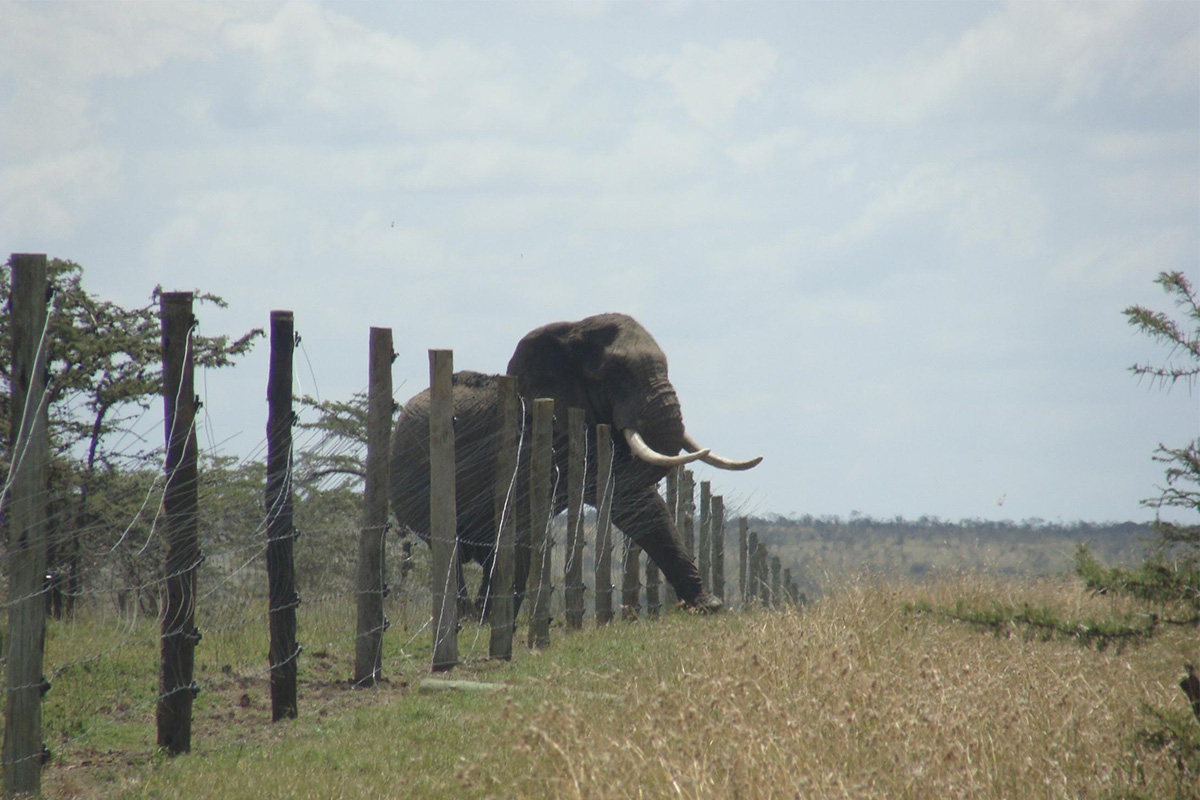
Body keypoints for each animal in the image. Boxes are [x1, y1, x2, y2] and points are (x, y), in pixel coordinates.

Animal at [388, 311, 758, 618]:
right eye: (615, 375)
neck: (569, 332)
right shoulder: (525, 440)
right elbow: (519, 524)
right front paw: (491, 620)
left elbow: (636, 501)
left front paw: (708, 607)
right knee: (447, 547)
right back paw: (464, 619)